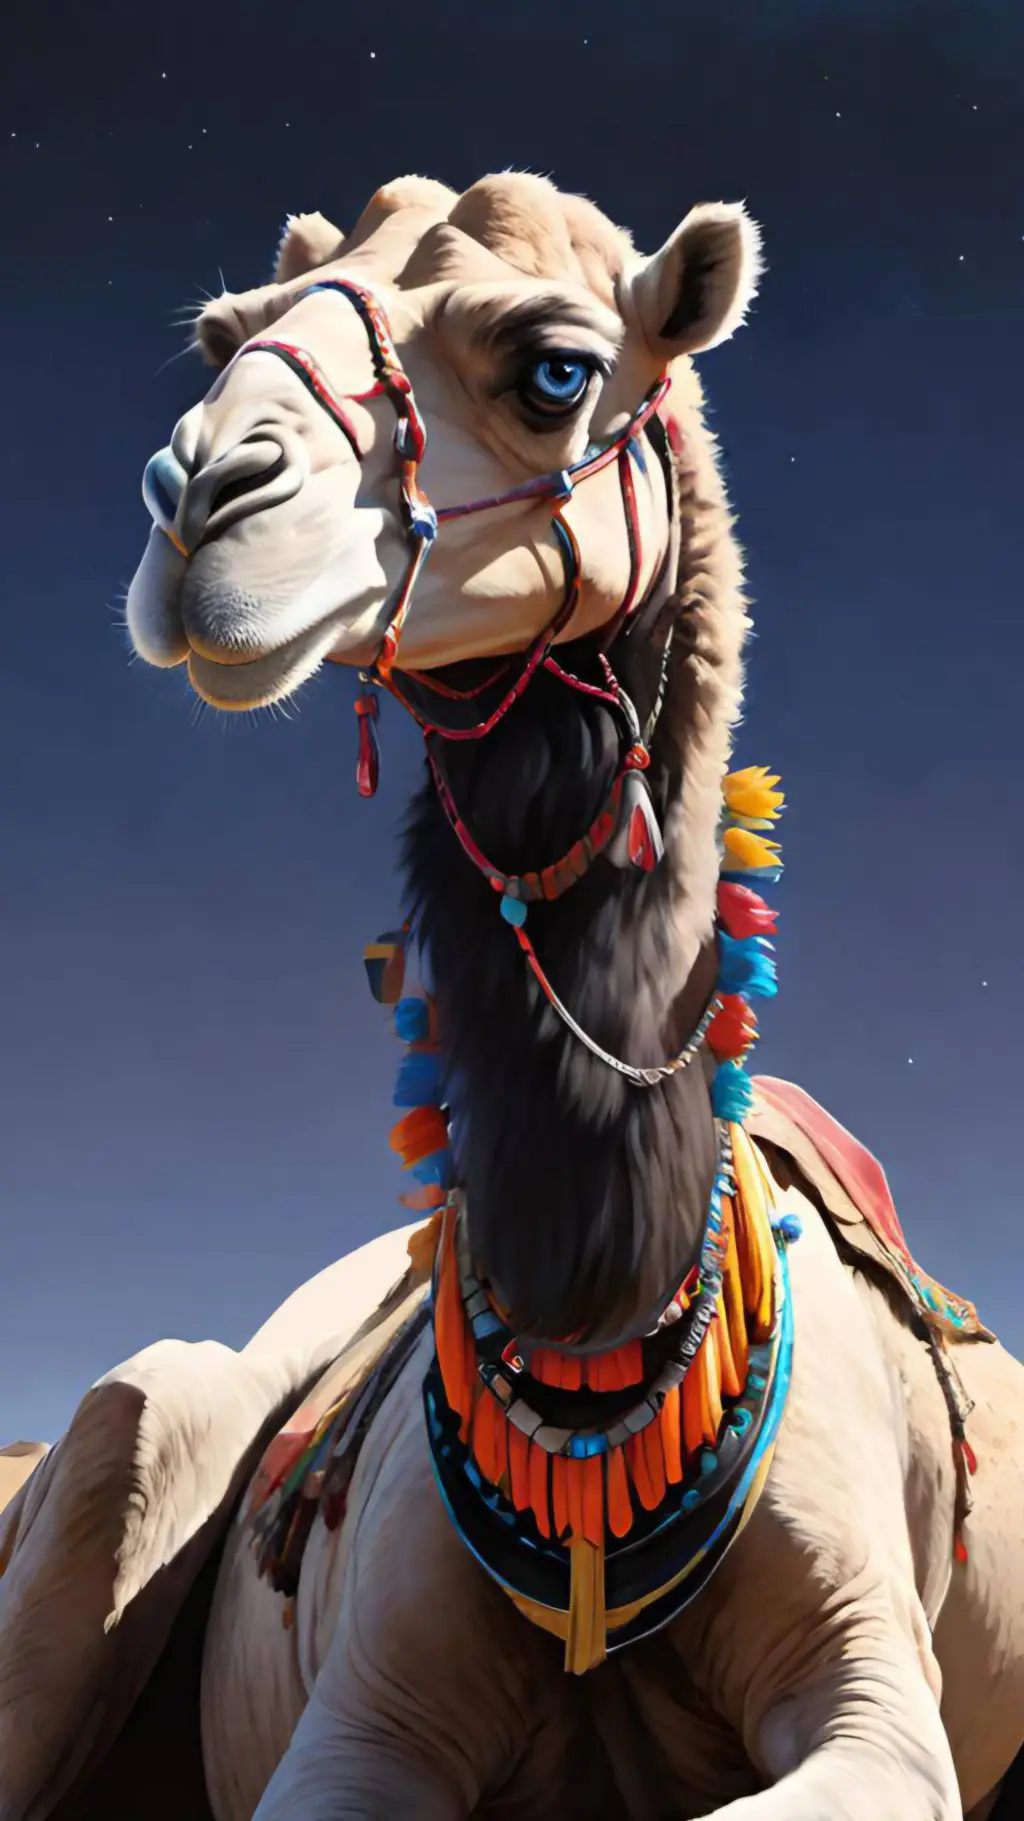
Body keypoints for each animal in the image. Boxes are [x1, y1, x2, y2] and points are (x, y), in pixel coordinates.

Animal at [2, 171, 1023, 1821]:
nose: (200, 497)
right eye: (224, 336)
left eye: (555, 368)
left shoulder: (878, 1701)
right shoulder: (362, 1721)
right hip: (124, 1435)